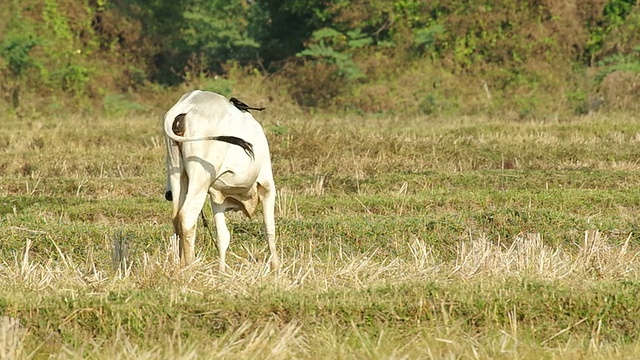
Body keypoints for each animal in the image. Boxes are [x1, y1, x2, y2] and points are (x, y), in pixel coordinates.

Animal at [162, 91, 278, 272]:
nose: (167, 194)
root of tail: (185, 105)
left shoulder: (217, 198)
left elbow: (223, 236)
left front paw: (222, 272)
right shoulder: (267, 186)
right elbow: (269, 228)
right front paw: (276, 268)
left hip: (177, 172)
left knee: (176, 219)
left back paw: (180, 266)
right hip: (200, 178)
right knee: (187, 216)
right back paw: (191, 267)